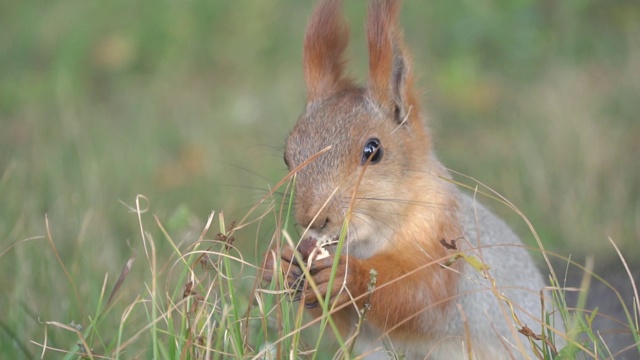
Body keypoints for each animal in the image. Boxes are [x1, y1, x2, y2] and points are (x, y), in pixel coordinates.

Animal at [260, 0, 560, 358]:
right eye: (287, 155)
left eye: (373, 150)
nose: (313, 220)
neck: (368, 241)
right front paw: (280, 263)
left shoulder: (446, 246)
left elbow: (419, 298)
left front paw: (348, 276)